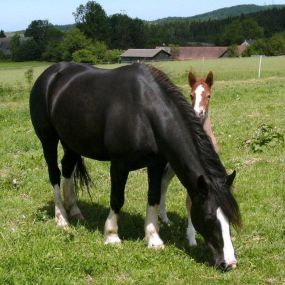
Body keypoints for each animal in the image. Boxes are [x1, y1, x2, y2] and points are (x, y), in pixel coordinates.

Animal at [158, 70, 217, 246]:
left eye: (208, 95)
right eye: (191, 95)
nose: (198, 114)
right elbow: (190, 202)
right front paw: (191, 237)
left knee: (163, 184)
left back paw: (165, 219)